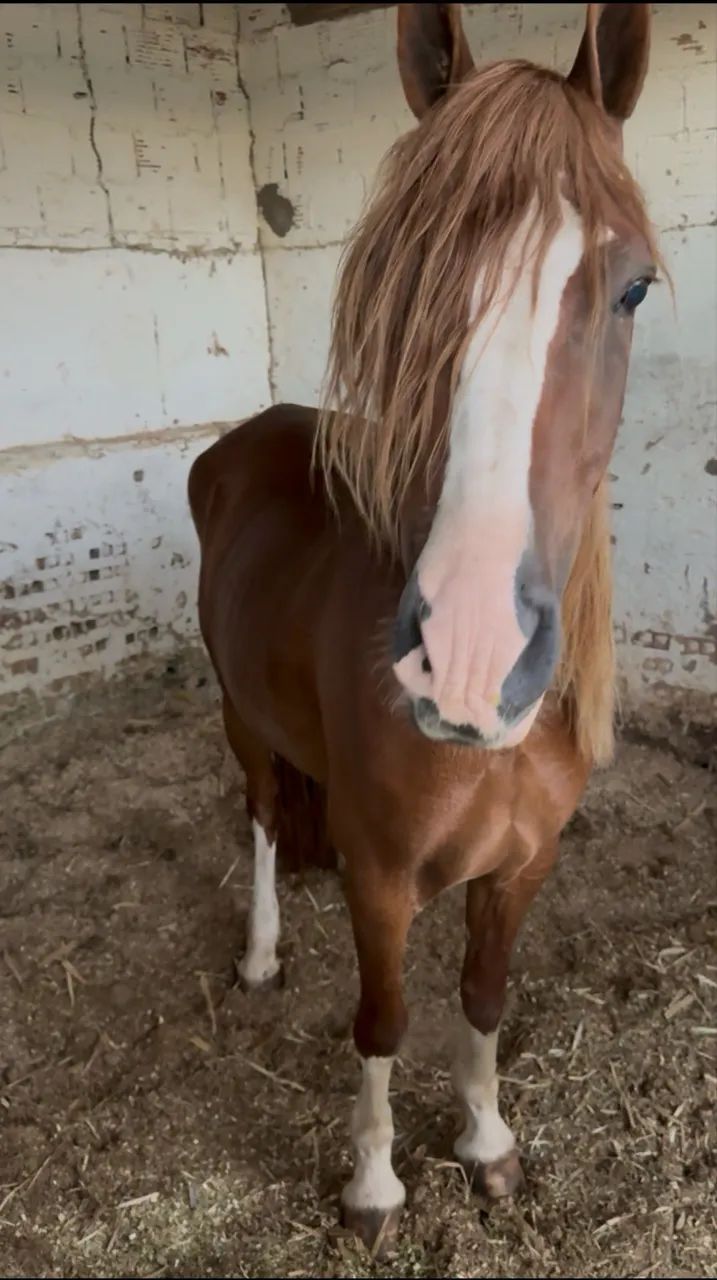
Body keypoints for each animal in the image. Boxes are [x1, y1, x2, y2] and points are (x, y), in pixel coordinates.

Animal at [189, 1, 660, 1254]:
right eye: (412, 278)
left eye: (634, 288)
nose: (471, 658)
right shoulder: (384, 875)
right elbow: (384, 1020)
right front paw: (373, 1185)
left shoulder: (525, 864)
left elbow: (482, 1000)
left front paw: (487, 1143)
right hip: (238, 712)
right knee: (261, 815)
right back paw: (261, 951)